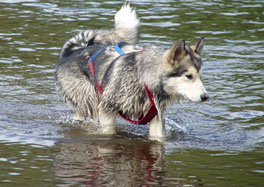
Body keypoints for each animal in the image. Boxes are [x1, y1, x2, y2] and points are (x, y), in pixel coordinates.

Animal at [54, 2, 209, 140]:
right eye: (189, 76)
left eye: (200, 76)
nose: (206, 97)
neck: (144, 78)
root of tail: (73, 50)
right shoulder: (106, 108)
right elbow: (109, 131)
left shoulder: (156, 117)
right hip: (88, 102)